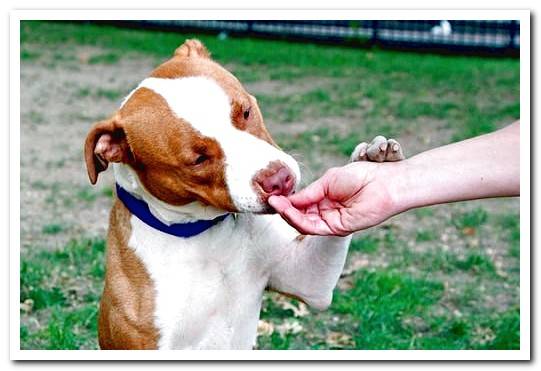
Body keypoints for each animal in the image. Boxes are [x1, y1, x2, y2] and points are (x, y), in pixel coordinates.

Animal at [84, 40, 402, 352]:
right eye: (198, 159)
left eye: (245, 112)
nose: (278, 179)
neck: (204, 237)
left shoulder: (309, 280)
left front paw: (369, 161)